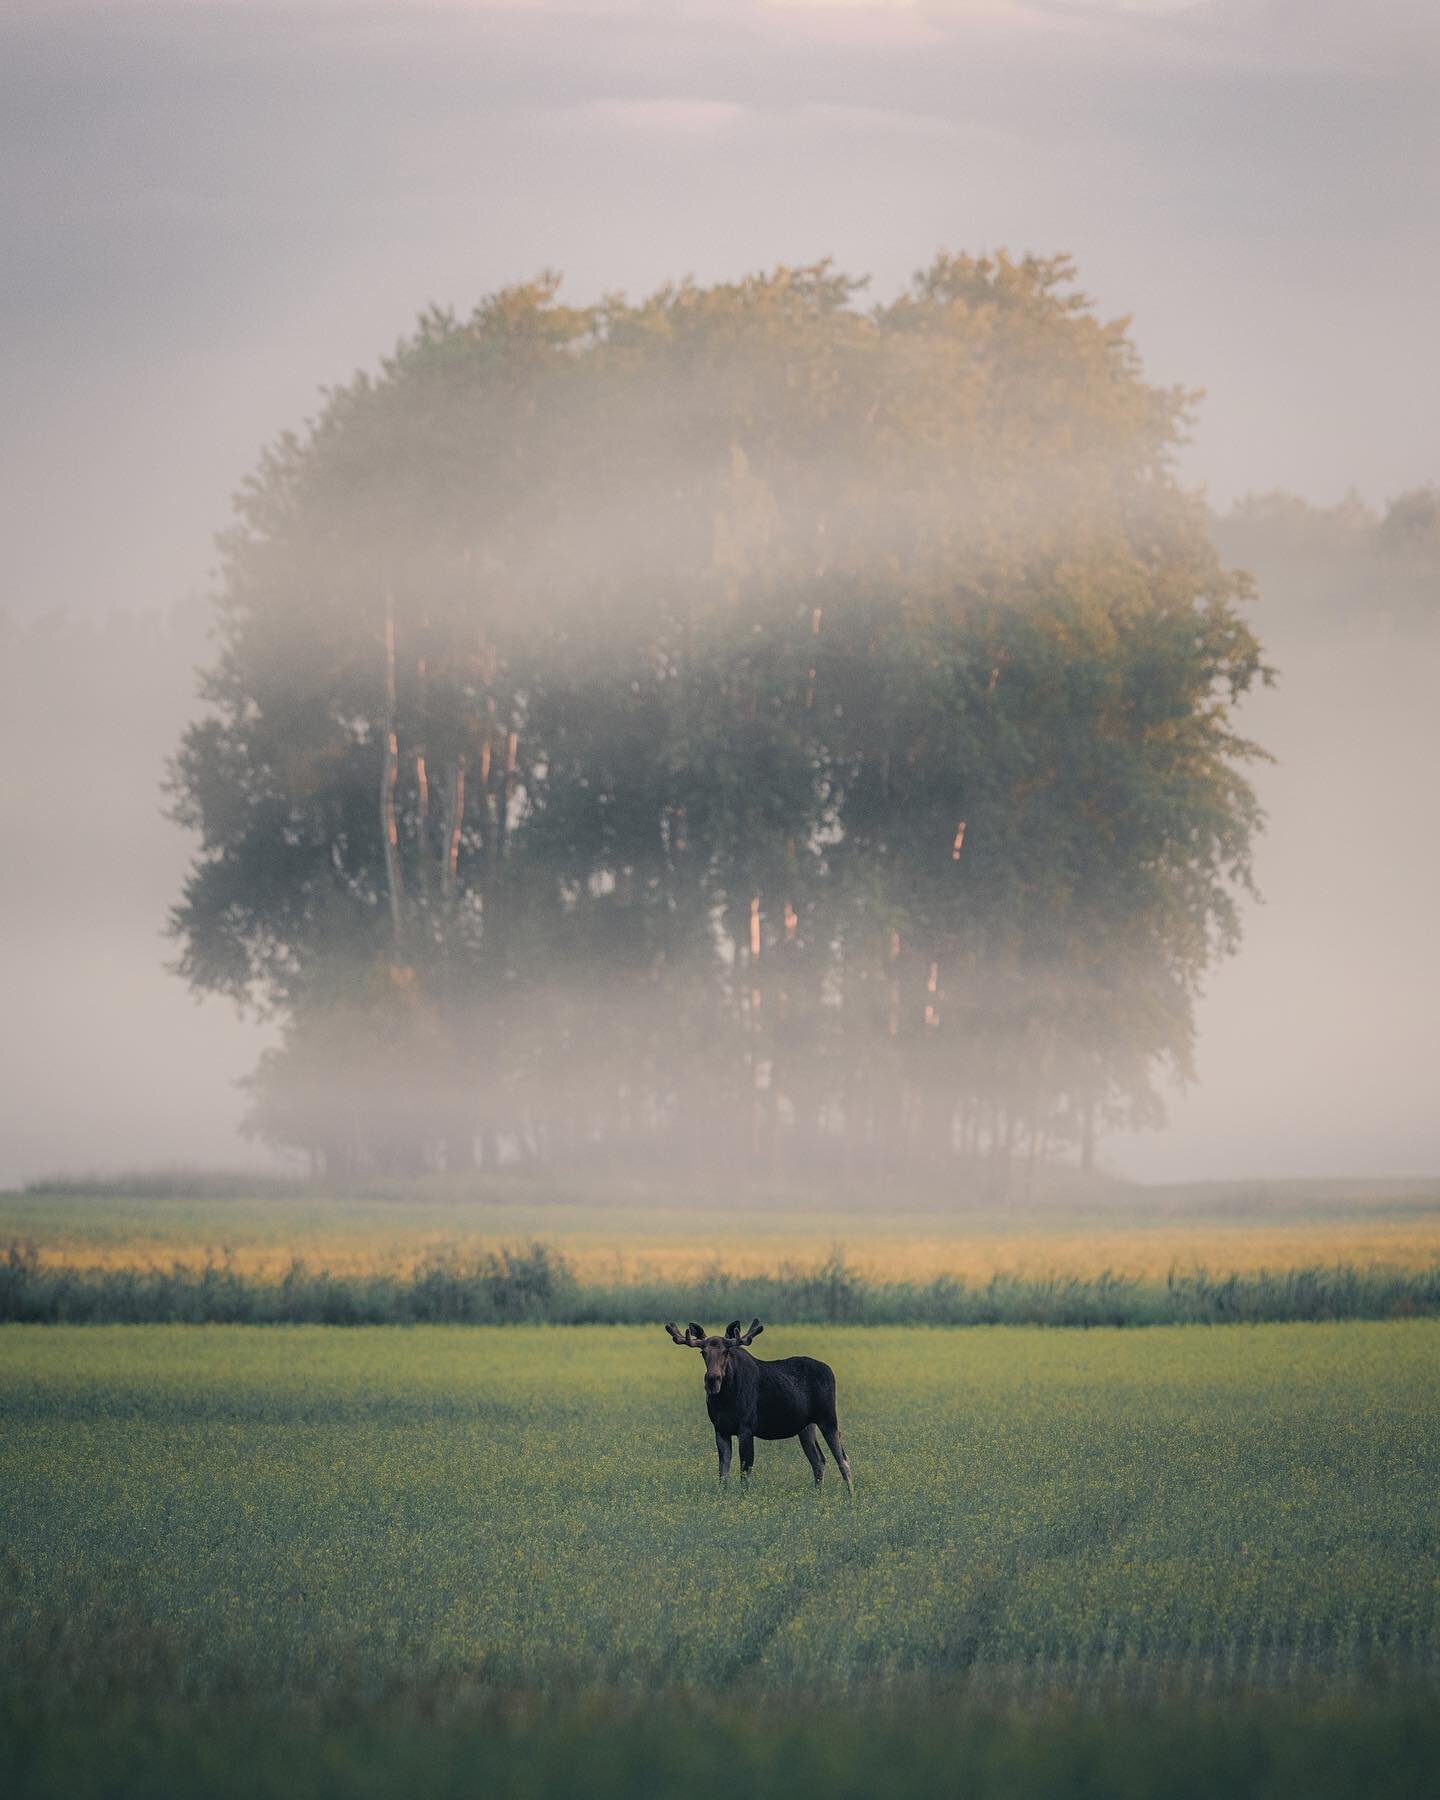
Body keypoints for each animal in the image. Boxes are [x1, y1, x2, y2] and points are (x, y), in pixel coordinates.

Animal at [666, 1317, 856, 1497]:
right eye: (702, 1352)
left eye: (726, 1351)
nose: (712, 1380)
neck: (725, 1399)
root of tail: (830, 1370)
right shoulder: (720, 1429)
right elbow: (723, 1473)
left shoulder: (746, 1427)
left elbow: (744, 1472)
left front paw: (743, 1499)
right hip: (806, 1427)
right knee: (819, 1460)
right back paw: (818, 1497)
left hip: (828, 1418)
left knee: (843, 1459)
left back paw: (851, 1498)